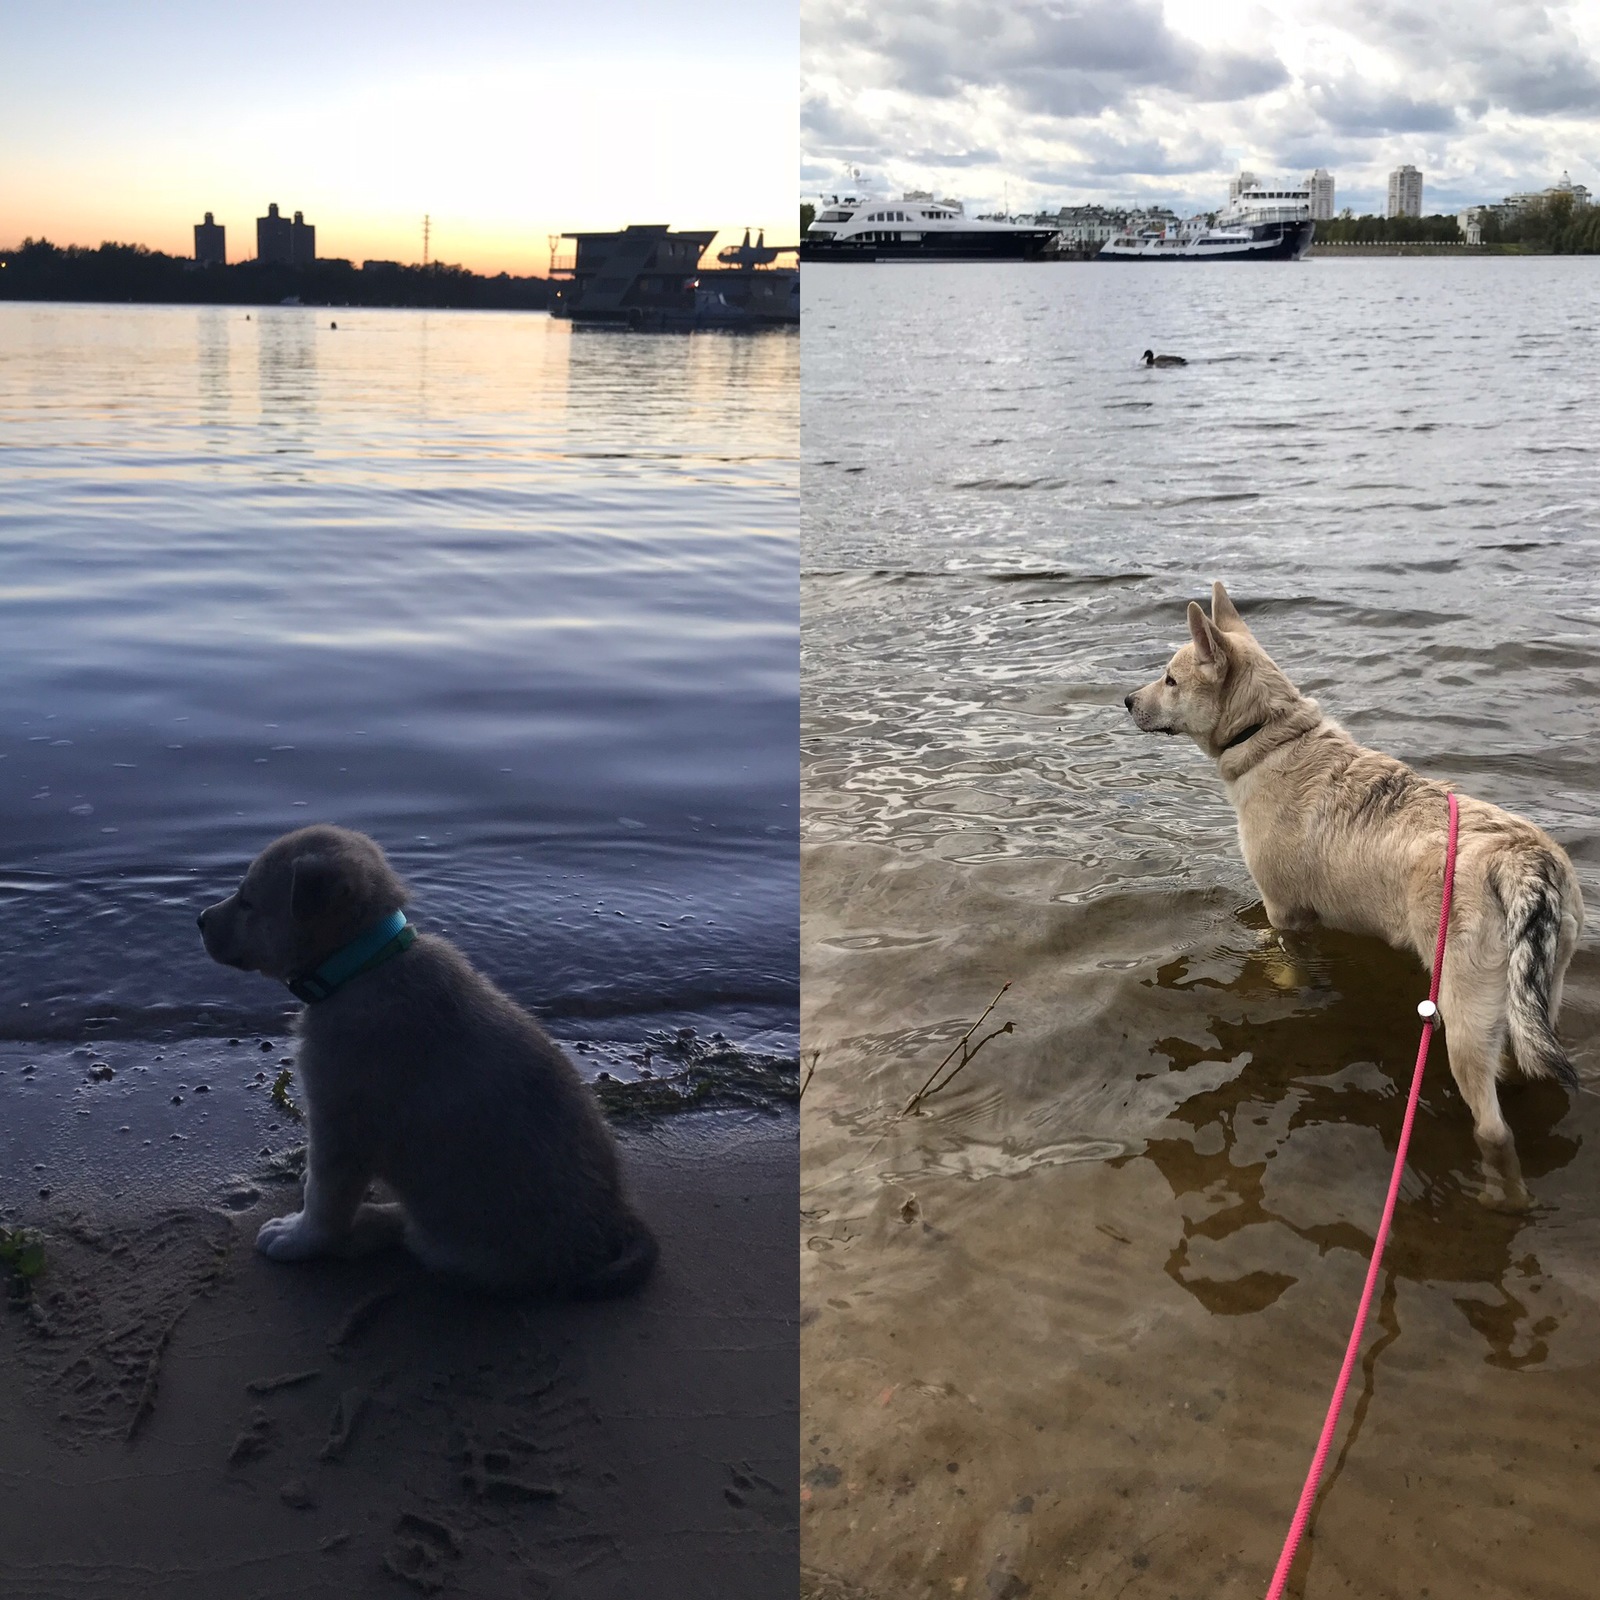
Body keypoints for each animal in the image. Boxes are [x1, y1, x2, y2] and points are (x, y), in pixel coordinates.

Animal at [198, 832, 656, 1292]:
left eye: (248, 902)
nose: (199, 918)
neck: (362, 963)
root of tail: (606, 1237)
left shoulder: (340, 1126)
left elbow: (325, 1204)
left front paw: (299, 1238)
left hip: (460, 1244)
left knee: (408, 1233)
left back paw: (361, 1228)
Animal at [1132, 588, 1580, 1209]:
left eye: (1170, 680)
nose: (1127, 700)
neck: (1271, 736)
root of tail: (1523, 862)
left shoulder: (1284, 912)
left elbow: (1292, 967)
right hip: (1539, 993)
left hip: (1463, 1014)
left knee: (1492, 1129)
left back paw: (1500, 1199)